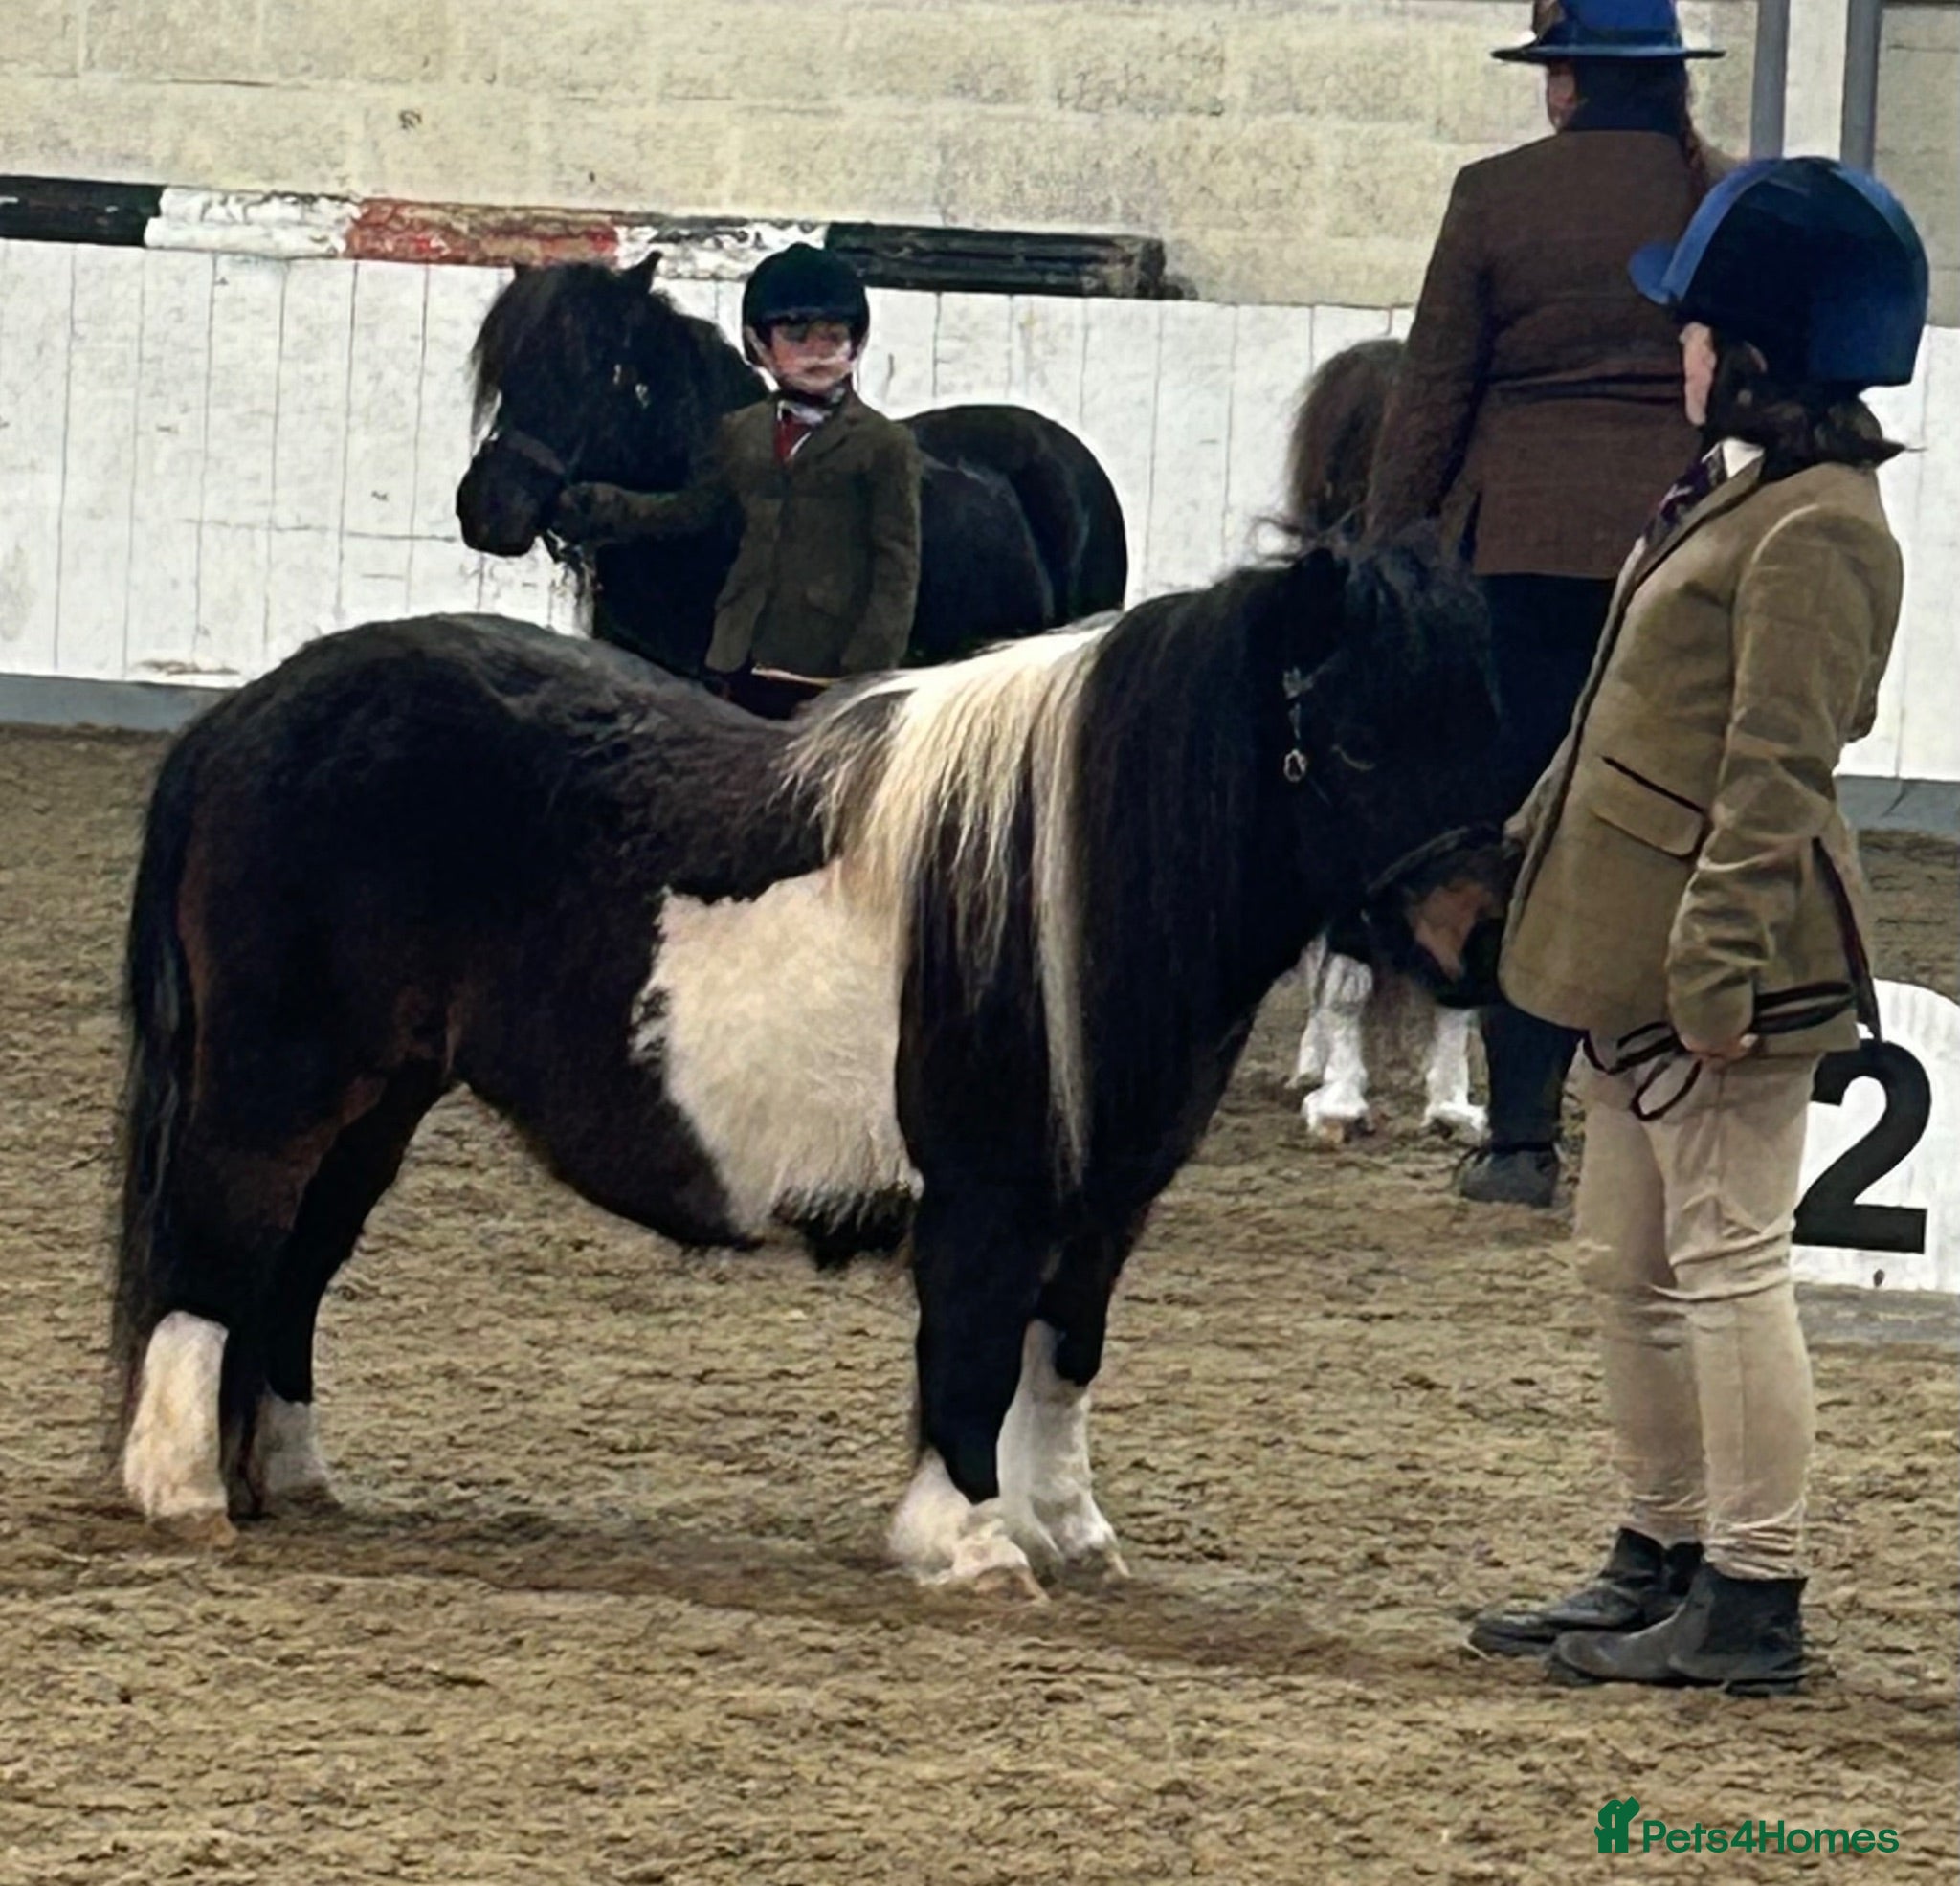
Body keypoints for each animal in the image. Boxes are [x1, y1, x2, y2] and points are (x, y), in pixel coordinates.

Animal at [111, 534, 1508, 1596]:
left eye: (1484, 731)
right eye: (1359, 743)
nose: (1484, 943)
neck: (1057, 882)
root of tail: (242, 720)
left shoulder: (1105, 1202)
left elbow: (1064, 1356)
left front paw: (1071, 1531)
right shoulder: (989, 1196)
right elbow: (973, 1356)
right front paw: (973, 1543)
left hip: (378, 1105)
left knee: (290, 1275)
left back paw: (294, 1477)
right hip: (277, 1091)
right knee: (216, 1252)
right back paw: (183, 1489)